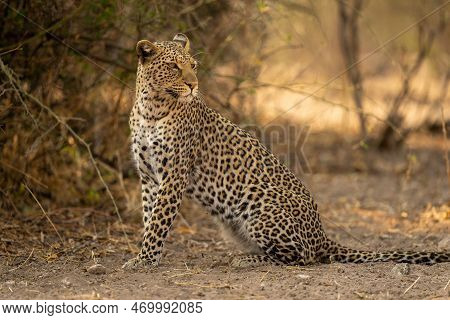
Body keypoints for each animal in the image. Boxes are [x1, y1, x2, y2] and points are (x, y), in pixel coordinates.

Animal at [121, 32, 448, 268]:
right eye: (174, 66)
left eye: (194, 66)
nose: (193, 84)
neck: (152, 108)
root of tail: (322, 235)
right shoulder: (149, 177)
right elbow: (150, 216)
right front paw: (147, 255)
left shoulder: (174, 176)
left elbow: (159, 219)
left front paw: (144, 260)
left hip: (260, 208)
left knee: (301, 257)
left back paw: (245, 260)